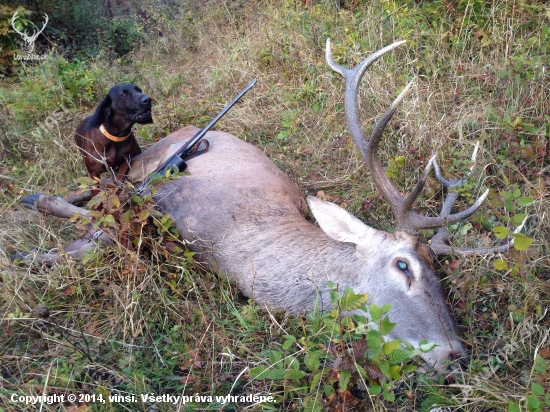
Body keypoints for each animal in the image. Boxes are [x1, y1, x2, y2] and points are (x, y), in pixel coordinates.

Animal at [18, 39, 508, 374]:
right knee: (103, 182)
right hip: (144, 160)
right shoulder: (159, 201)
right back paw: (35, 199)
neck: (231, 245)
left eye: (441, 275)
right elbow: (102, 231)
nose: (456, 354)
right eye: (403, 265)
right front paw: (33, 244)